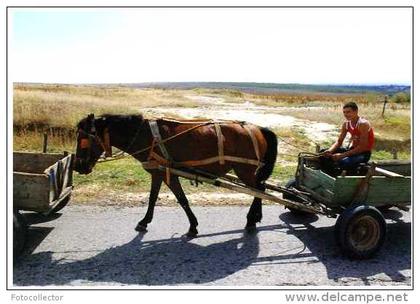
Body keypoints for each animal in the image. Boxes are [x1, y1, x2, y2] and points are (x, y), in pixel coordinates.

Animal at [74, 113, 278, 236]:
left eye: (83, 138)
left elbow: (182, 199)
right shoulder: (158, 173)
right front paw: (145, 222)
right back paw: (255, 217)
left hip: (244, 170)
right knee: (261, 188)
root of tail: (256, 128)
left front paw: (193, 226)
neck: (145, 136)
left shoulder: (168, 174)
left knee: (259, 189)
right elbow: (152, 198)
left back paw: (251, 220)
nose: (78, 166)